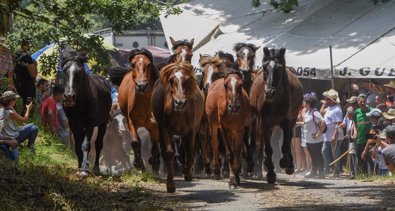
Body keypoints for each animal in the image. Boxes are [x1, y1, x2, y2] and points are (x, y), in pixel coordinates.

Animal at [61, 47, 112, 176]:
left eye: (79, 71)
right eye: (64, 70)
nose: (69, 97)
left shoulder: (90, 124)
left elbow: (85, 145)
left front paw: (84, 169)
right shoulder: (73, 124)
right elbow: (78, 146)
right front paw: (80, 166)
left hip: (103, 123)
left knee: (98, 144)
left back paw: (96, 168)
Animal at [152, 61, 204, 193]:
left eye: (187, 80)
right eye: (171, 80)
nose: (180, 103)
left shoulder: (191, 130)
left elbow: (190, 152)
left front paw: (188, 173)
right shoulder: (165, 129)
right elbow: (169, 153)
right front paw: (170, 183)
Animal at [252, 47, 304, 184]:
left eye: (279, 68)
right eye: (265, 67)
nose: (269, 92)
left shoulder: (286, 122)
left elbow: (285, 144)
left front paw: (285, 163)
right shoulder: (264, 123)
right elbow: (268, 148)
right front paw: (270, 173)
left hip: (293, 119)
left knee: (289, 138)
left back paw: (289, 164)